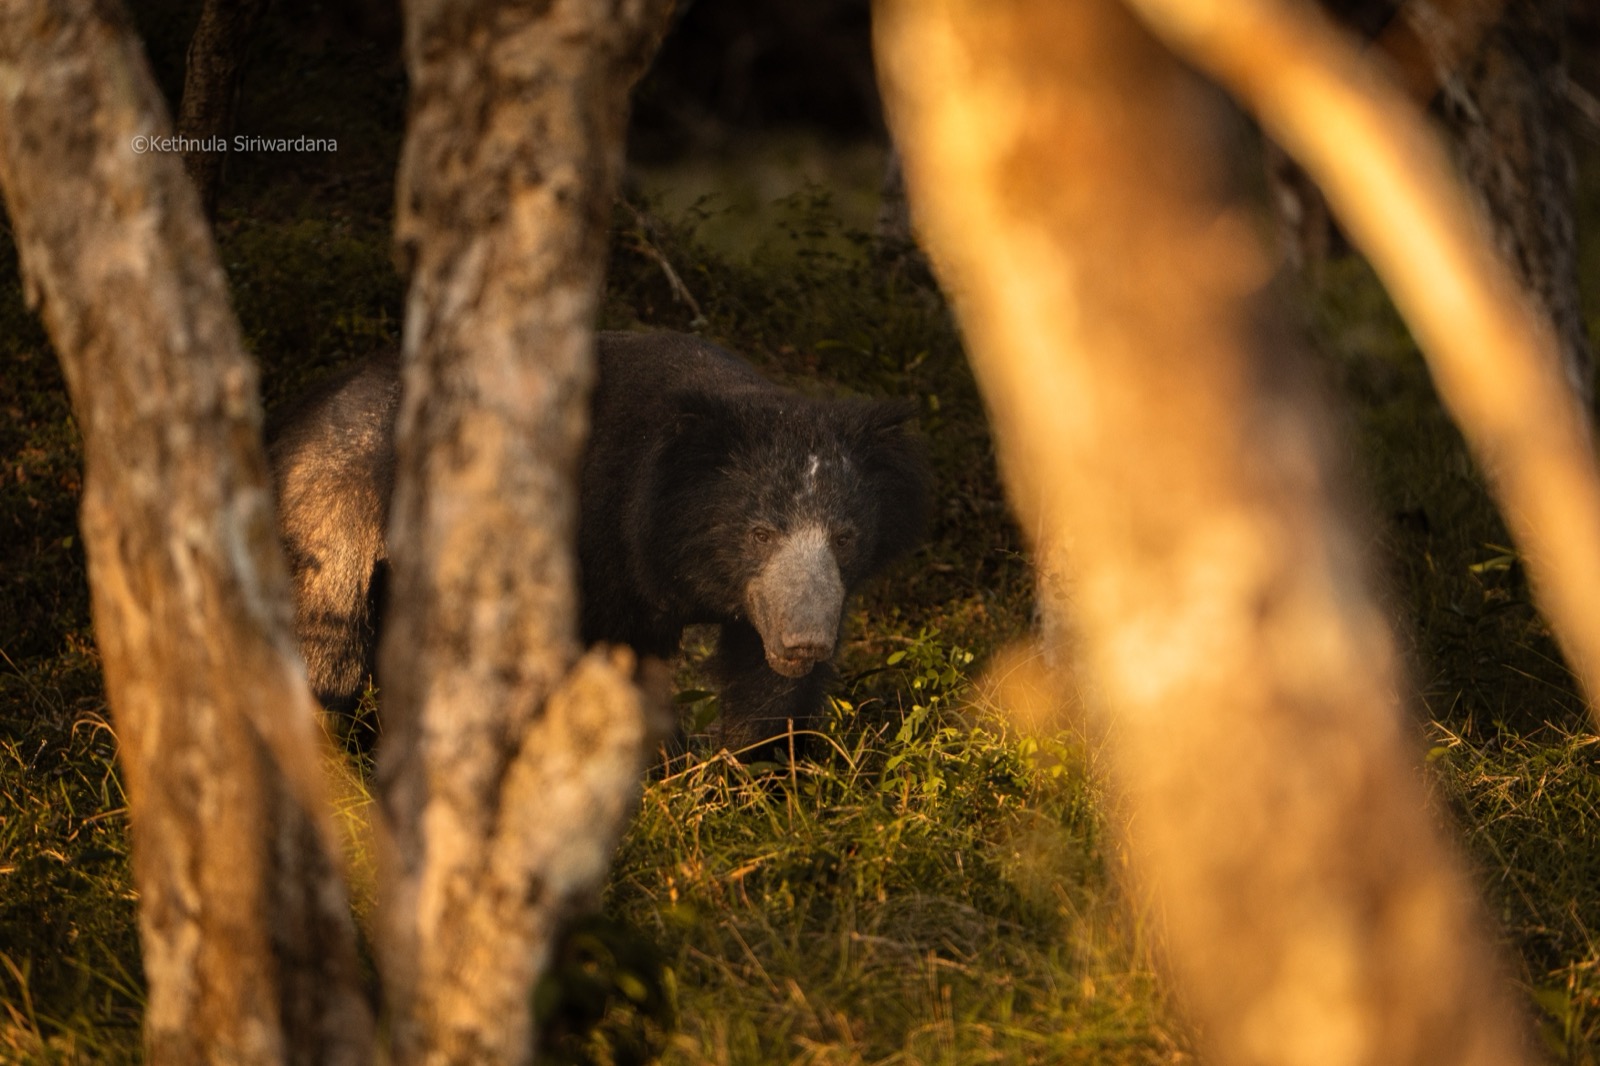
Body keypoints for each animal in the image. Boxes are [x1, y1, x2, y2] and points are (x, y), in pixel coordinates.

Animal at [267, 330, 931, 752]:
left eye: (844, 537)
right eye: (761, 533)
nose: (804, 642)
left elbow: (766, 689)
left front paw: (761, 770)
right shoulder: (599, 550)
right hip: (335, 510)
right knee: (328, 643)